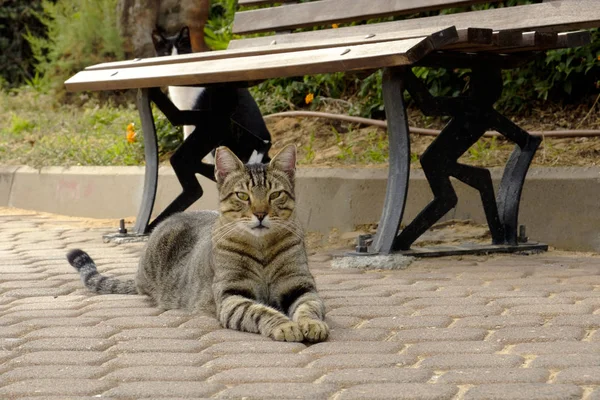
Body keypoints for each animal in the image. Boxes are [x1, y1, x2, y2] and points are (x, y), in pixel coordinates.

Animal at [68, 145, 330, 342]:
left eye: (275, 195)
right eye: (242, 196)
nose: (260, 214)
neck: (262, 246)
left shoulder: (299, 285)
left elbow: (309, 307)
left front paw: (312, 324)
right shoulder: (231, 295)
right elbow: (258, 311)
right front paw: (285, 326)